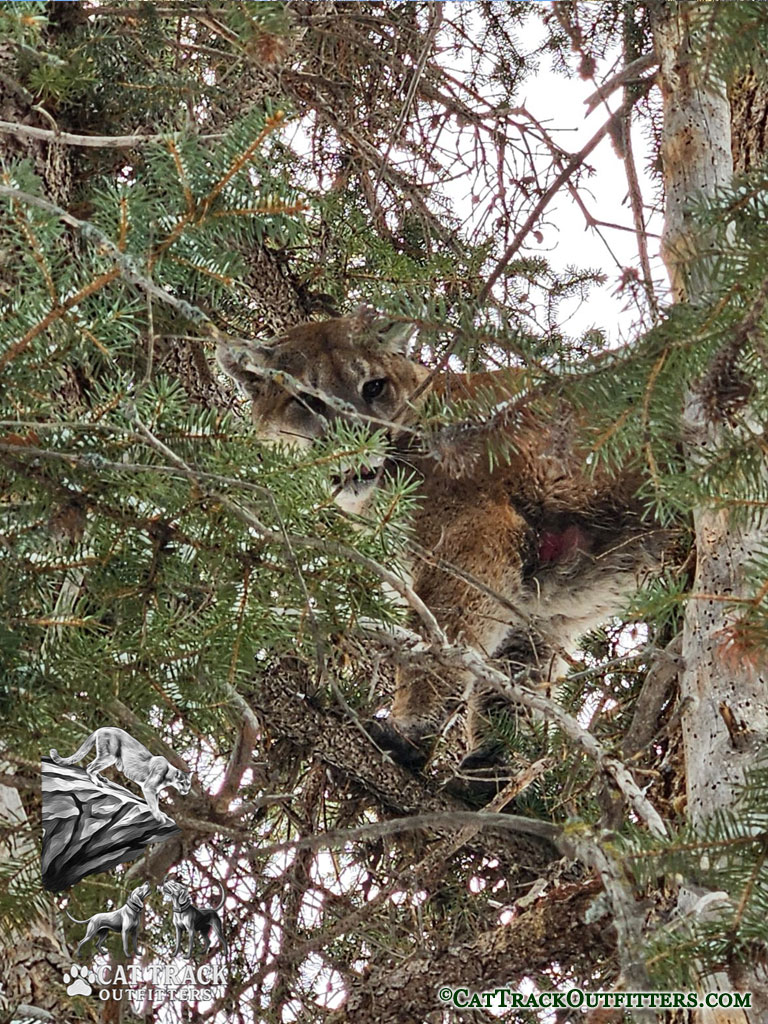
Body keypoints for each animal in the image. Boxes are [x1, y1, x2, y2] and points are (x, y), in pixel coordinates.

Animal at [217, 310, 670, 779]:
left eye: (373, 387)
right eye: (307, 399)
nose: (359, 438)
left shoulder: (474, 540)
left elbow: (439, 648)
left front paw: (408, 732)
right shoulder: (537, 605)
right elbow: (513, 681)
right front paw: (493, 768)